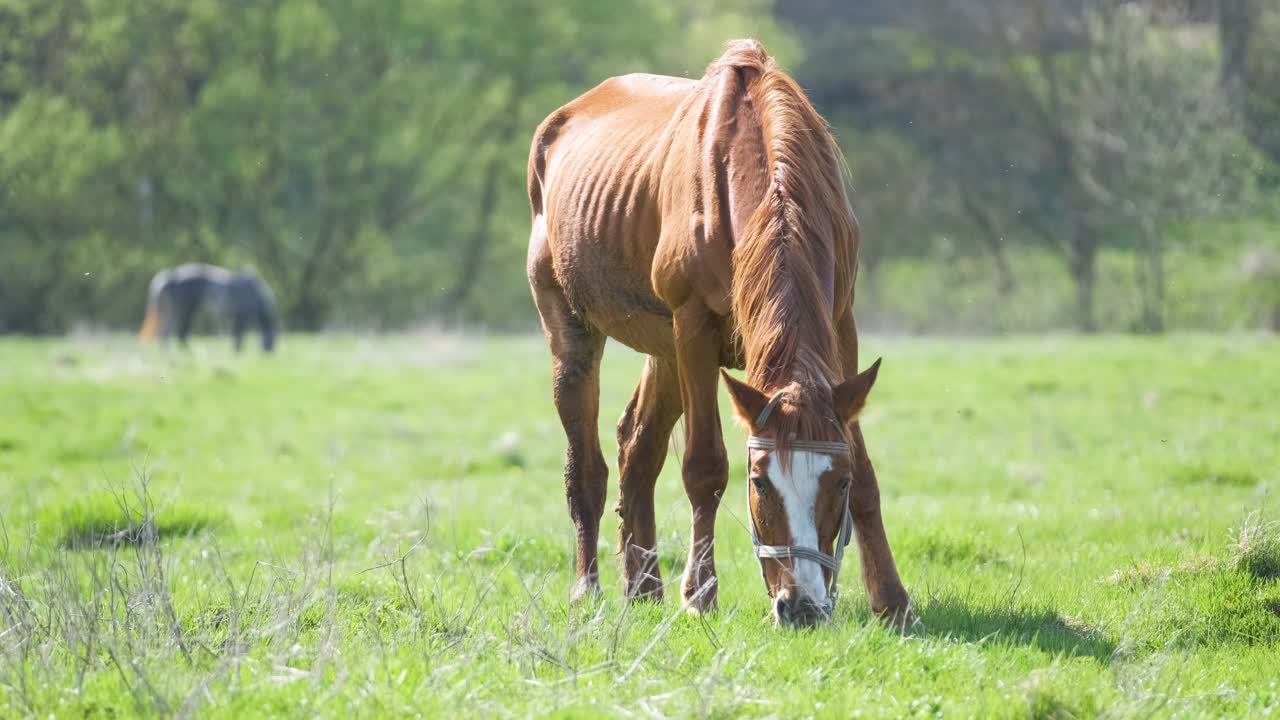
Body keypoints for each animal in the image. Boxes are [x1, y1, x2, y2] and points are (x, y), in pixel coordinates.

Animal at [138, 263, 276, 353]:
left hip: (177, 311)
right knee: (174, 333)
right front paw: (237, 351)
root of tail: (169, 276)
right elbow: (238, 335)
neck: (254, 292)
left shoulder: (234, 318)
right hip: (182, 311)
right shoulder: (242, 317)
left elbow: (235, 335)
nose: (268, 353)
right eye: (273, 339)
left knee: (172, 333)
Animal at [527, 39, 911, 625]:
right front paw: (700, 592)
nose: (800, 606)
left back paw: (643, 587)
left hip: (663, 347)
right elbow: (703, 468)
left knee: (636, 447)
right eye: (759, 483)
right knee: (587, 464)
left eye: (836, 483)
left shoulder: (840, 323)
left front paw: (892, 599)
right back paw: (588, 589)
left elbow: (866, 467)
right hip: (575, 326)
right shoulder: (694, 326)